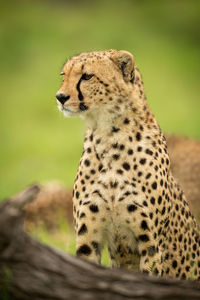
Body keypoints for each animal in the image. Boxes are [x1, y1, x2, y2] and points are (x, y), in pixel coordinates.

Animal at [55, 49, 200, 278]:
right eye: (64, 75)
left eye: (87, 76)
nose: (60, 97)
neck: (109, 136)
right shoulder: (88, 238)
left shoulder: (151, 244)